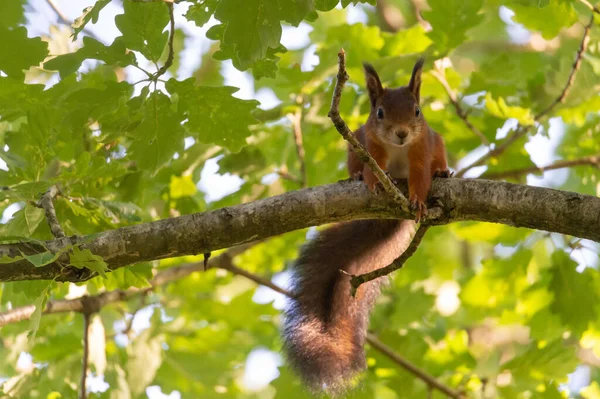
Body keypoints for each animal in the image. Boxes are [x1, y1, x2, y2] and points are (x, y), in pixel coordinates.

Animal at [282, 58, 450, 396]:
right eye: (380, 113)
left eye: (417, 111)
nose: (401, 133)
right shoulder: (368, 143)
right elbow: (373, 167)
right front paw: (371, 182)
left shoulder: (422, 147)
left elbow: (421, 176)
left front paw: (419, 199)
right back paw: (356, 176)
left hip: (437, 141)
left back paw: (442, 170)